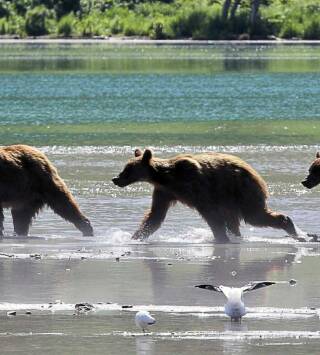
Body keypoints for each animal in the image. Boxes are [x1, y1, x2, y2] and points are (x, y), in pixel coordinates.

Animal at [112, 149, 298, 243]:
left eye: (128, 169)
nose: (115, 179)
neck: (165, 177)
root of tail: (257, 174)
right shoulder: (164, 192)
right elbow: (155, 216)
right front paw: (135, 236)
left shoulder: (196, 186)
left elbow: (210, 213)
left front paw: (220, 237)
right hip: (230, 200)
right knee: (235, 220)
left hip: (243, 191)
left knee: (254, 215)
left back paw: (291, 228)